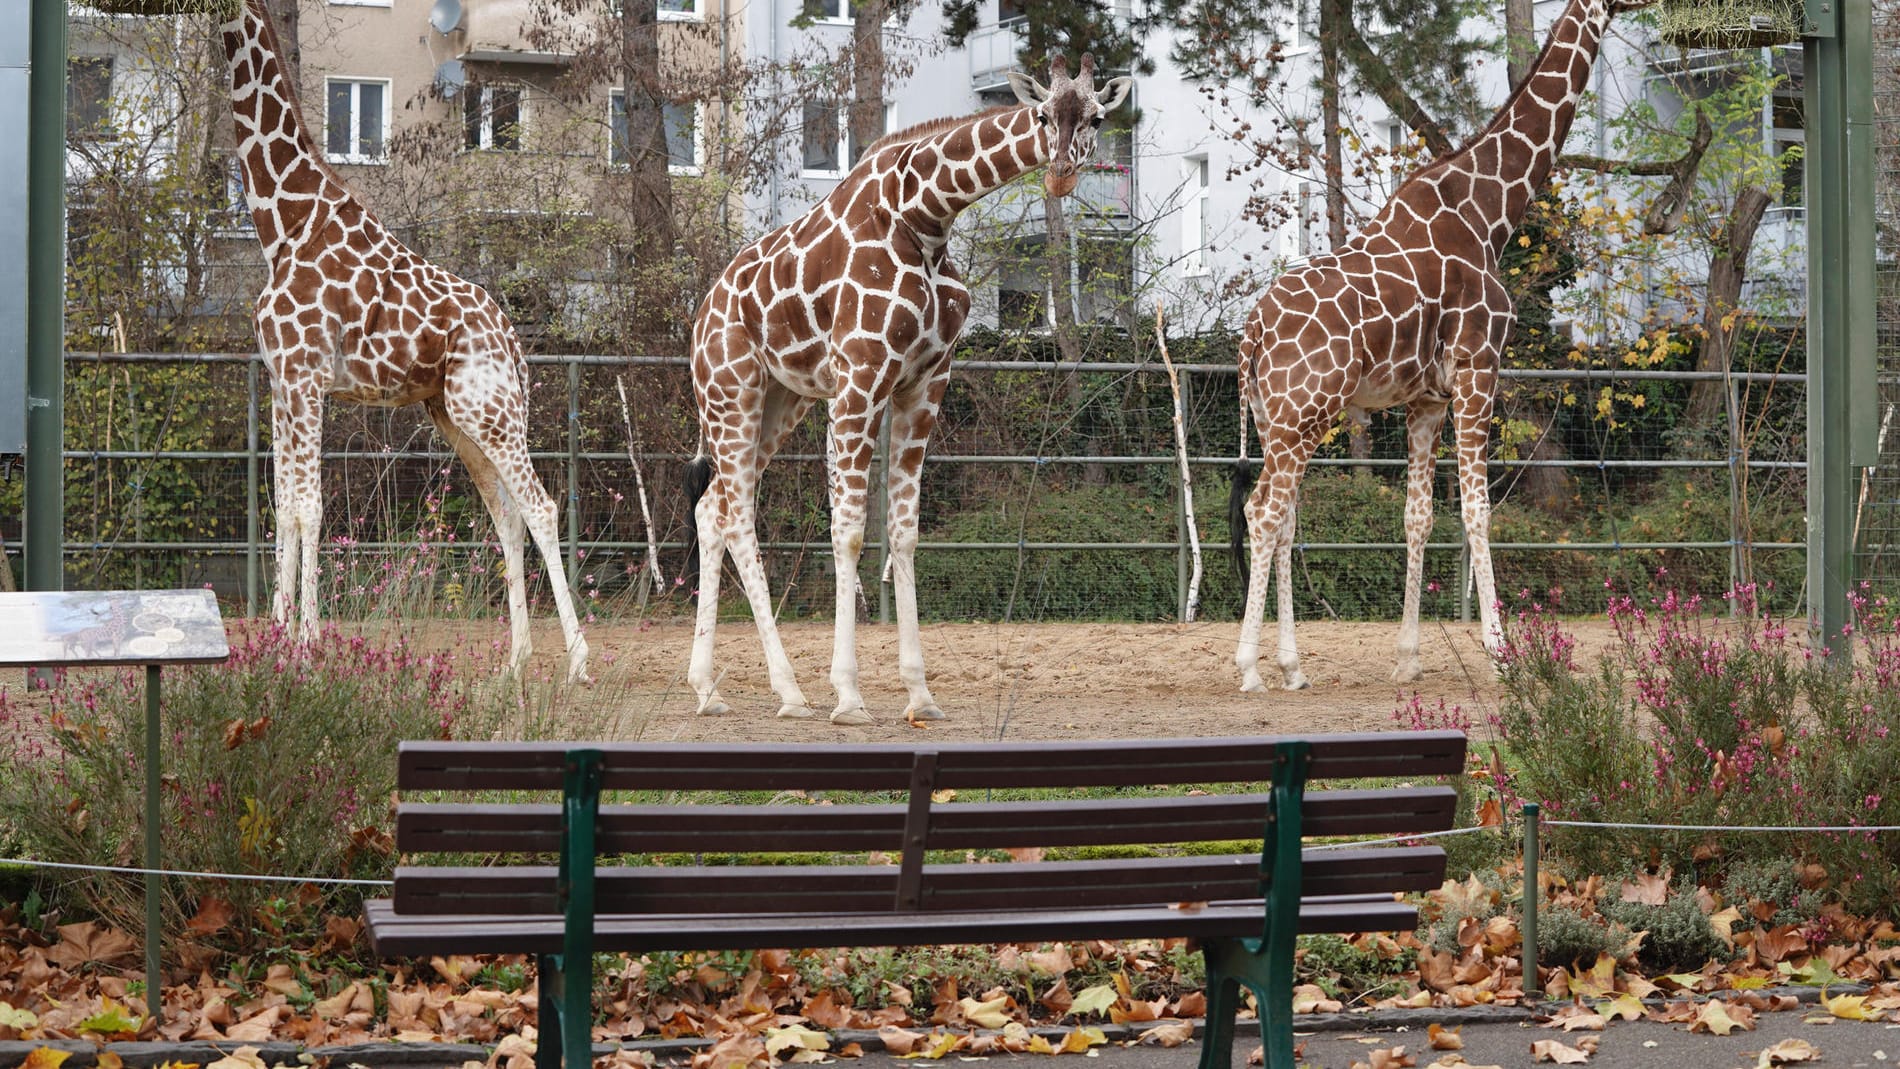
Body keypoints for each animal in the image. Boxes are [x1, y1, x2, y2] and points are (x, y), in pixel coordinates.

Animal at [217, 0, 585, 683]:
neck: (284, 224)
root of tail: (514, 343)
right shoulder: (282, 383)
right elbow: (282, 508)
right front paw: (275, 644)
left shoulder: (308, 377)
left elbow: (309, 508)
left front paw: (308, 647)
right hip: (456, 417)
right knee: (507, 515)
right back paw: (515, 661)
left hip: (489, 412)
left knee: (541, 508)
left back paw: (578, 662)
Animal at [684, 58, 1124, 729]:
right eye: (1044, 114)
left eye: (1097, 118)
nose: (1060, 176)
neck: (927, 216)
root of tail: (701, 313)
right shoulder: (861, 377)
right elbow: (848, 531)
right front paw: (848, 697)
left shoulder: (925, 381)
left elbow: (905, 532)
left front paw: (920, 694)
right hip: (732, 392)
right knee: (736, 517)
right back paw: (790, 692)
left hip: (782, 401)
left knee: (713, 509)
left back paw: (707, 688)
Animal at [1231, 0, 1649, 694]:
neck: (1490, 212)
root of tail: (1253, 332)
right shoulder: (1480, 370)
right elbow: (1478, 511)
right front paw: (1503, 654)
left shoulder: (1425, 399)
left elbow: (1419, 517)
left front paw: (1408, 658)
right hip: (1304, 413)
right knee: (1264, 512)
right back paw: (1248, 669)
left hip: (1274, 418)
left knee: (1283, 516)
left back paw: (1291, 667)